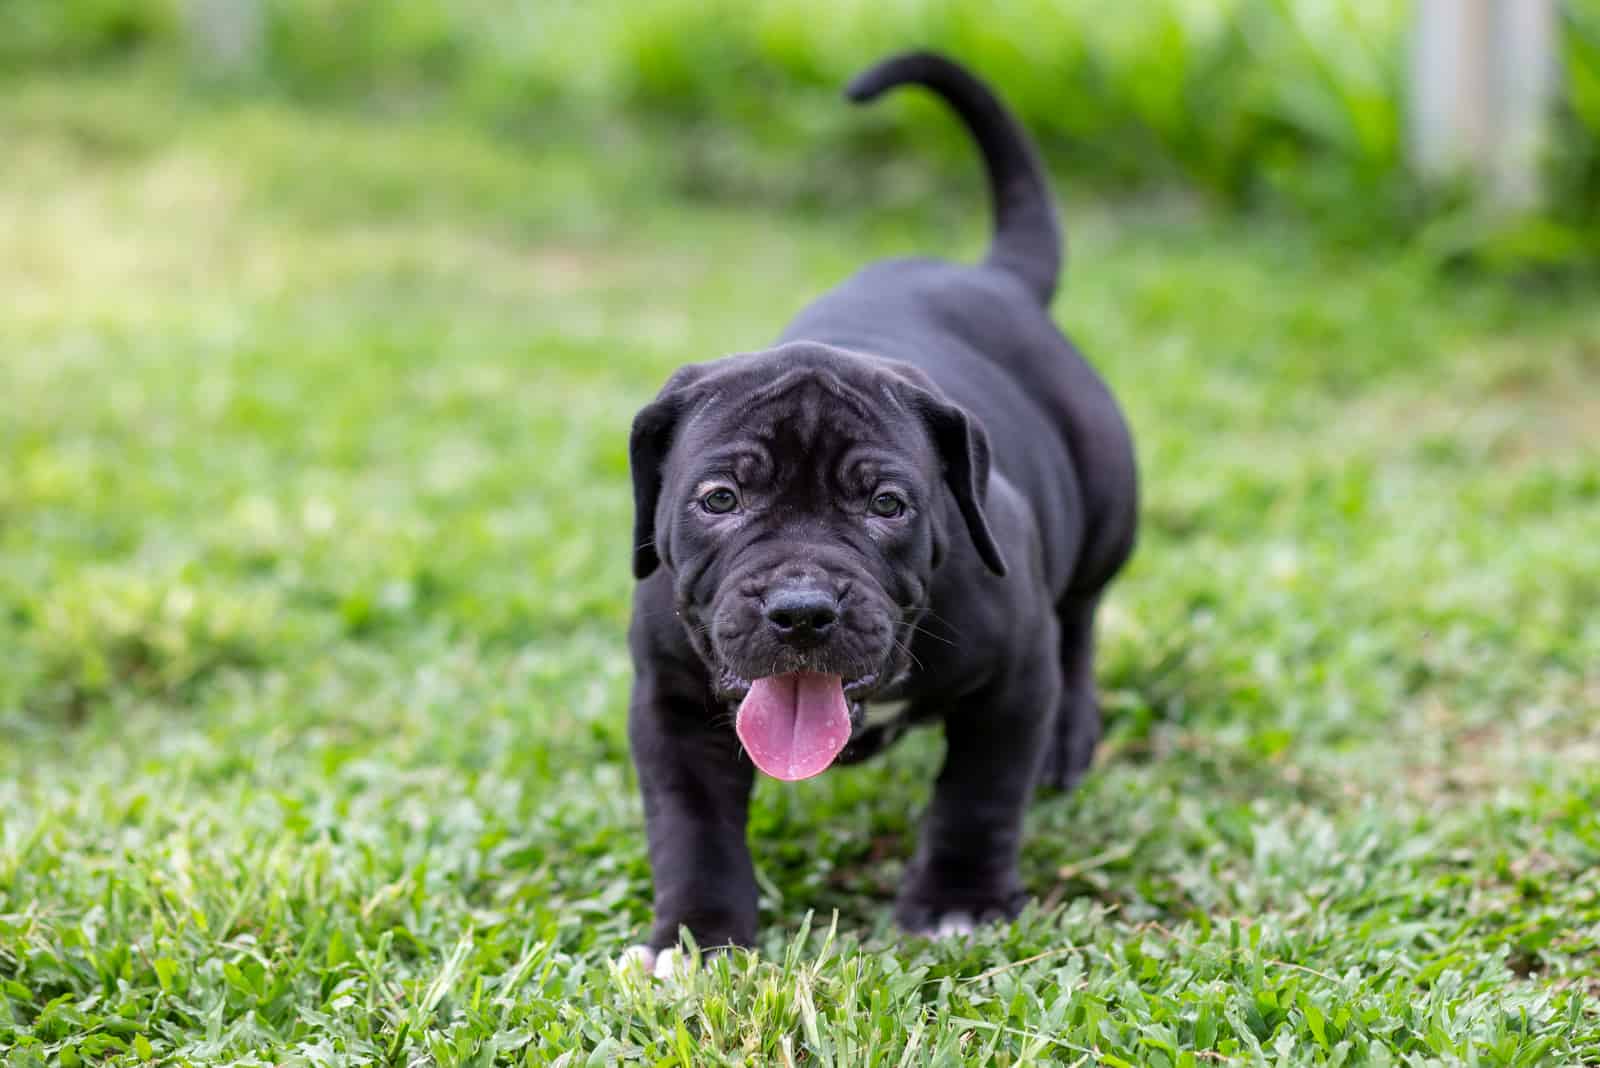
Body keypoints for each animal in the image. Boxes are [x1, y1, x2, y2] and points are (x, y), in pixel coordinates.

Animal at [624, 49, 1139, 965]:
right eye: (719, 499)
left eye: (888, 504)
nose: (801, 610)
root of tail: (994, 278)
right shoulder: (671, 702)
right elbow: (691, 826)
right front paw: (697, 937)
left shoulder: (1014, 680)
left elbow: (977, 795)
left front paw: (958, 903)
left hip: (1107, 508)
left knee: (1080, 618)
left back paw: (1068, 741)